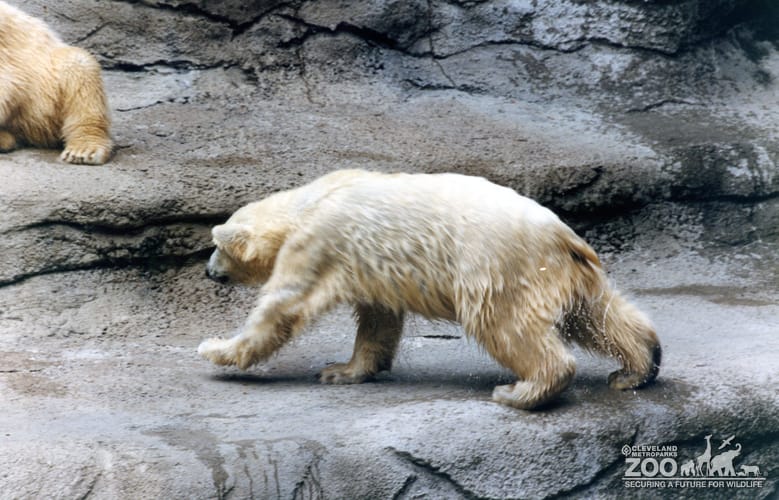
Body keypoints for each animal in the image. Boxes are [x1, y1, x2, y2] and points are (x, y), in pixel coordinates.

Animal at [198, 169, 661, 410]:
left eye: (216, 246)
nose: (207, 271)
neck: (309, 202)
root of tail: (563, 233)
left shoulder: (319, 242)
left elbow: (283, 305)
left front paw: (215, 349)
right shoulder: (364, 263)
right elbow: (378, 319)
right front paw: (343, 370)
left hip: (497, 266)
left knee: (503, 323)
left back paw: (519, 391)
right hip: (567, 271)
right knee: (599, 315)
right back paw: (636, 369)